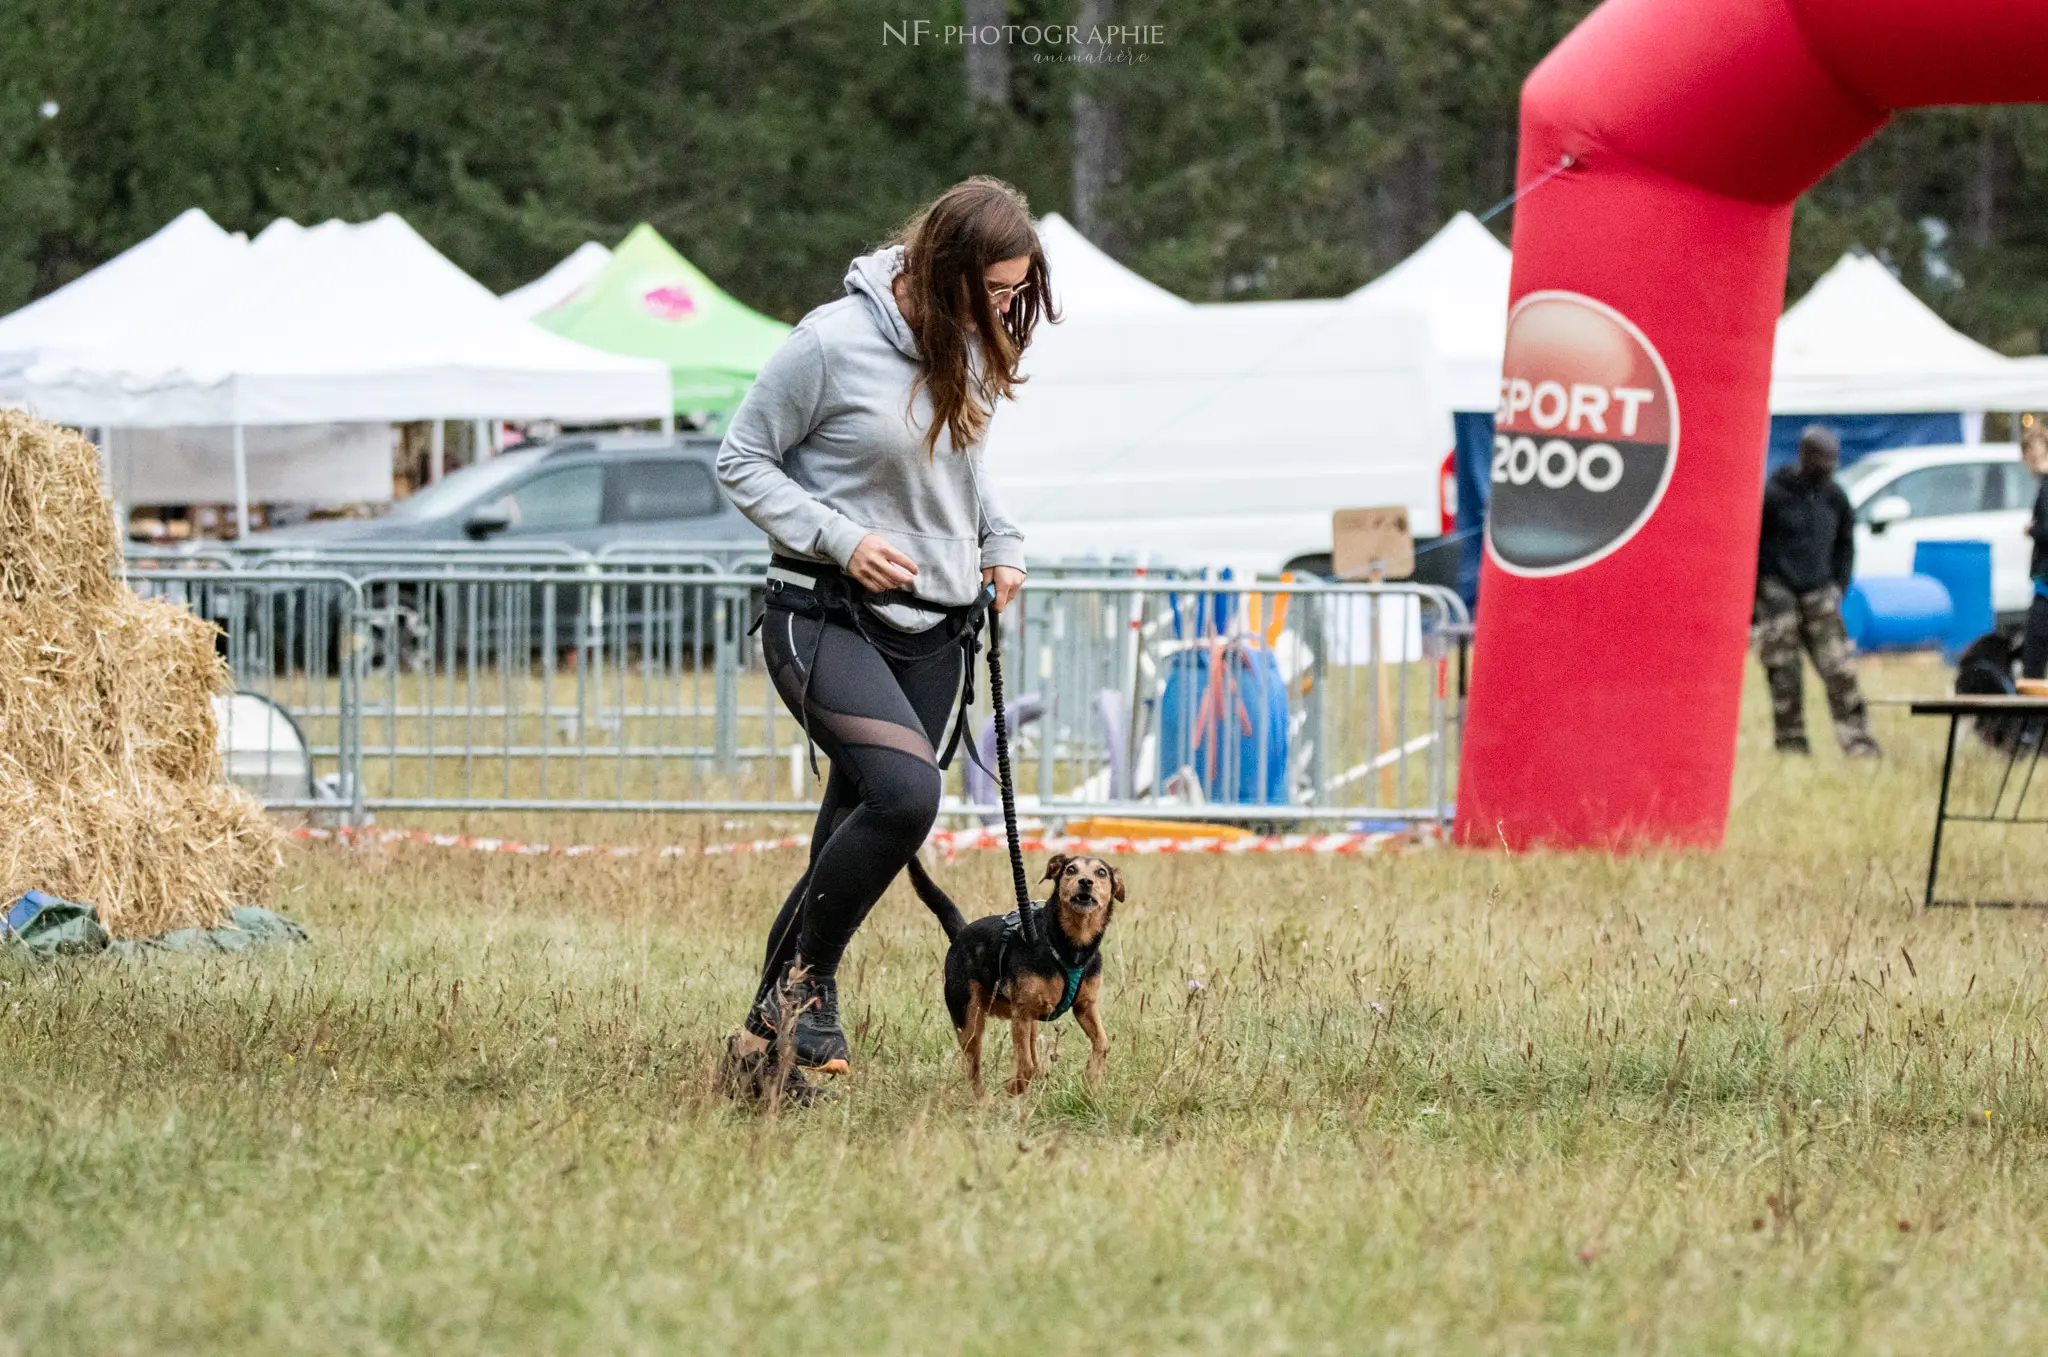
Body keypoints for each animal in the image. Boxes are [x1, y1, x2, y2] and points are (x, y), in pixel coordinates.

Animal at [909, 855, 1122, 1097]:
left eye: (1101, 872)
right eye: (1070, 869)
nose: (1085, 881)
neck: (1072, 946)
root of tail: (960, 934)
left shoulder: (1085, 1006)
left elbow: (1103, 1043)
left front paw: (1091, 1080)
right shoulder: (1022, 1012)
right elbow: (1025, 1065)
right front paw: (1013, 1086)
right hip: (969, 1019)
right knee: (974, 1069)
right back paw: (983, 1100)